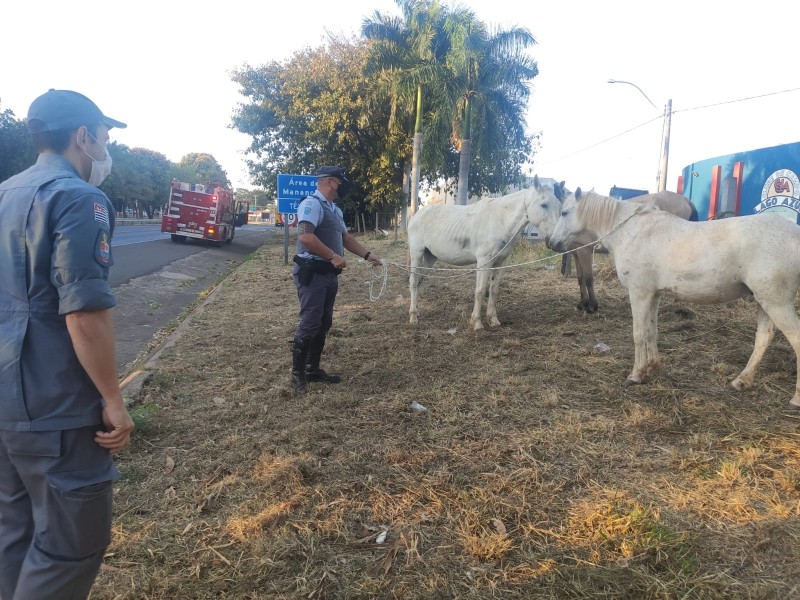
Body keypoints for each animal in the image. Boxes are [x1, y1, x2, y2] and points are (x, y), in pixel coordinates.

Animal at [406, 176, 564, 330]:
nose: (555, 241)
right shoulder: (484, 261)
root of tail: (415, 216)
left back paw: (417, 312)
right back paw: (413, 317)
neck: (500, 220)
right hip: (417, 253)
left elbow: (494, 290)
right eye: (544, 205)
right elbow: (480, 290)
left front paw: (493, 320)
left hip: (430, 257)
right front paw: (476, 323)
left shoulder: (501, 261)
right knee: (413, 281)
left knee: (419, 280)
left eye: (559, 206)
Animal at [552, 190, 800, 410]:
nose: (551, 242)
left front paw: (635, 375)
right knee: (763, 338)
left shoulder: (639, 293)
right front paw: (652, 367)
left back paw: (795, 400)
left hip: (776, 303)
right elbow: (651, 331)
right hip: (764, 301)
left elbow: (639, 334)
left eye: (564, 212)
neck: (633, 232)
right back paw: (742, 381)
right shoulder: (653, 294)